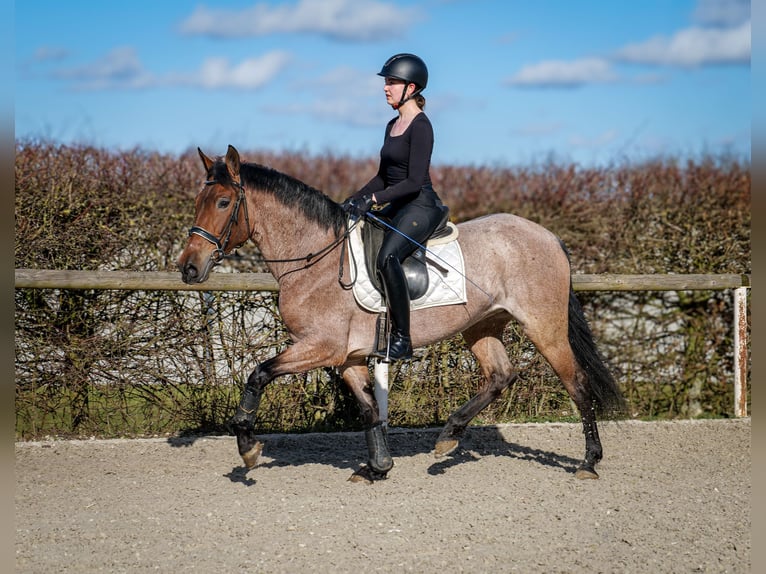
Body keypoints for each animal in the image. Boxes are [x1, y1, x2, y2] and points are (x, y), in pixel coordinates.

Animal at [177, 146, 628, 484]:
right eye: (197, 202)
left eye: (223, 202)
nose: (188, 268)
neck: (315, 258)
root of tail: (548, 235)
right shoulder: (348, 356)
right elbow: (369, 410)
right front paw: (377, 467)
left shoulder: (319, 347)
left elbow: (258, 374)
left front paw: (248, 448)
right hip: (482, 326)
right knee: (501, 375)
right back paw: (448, 437)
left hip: (543, 326)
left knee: (577, 384)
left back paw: (589, 462)